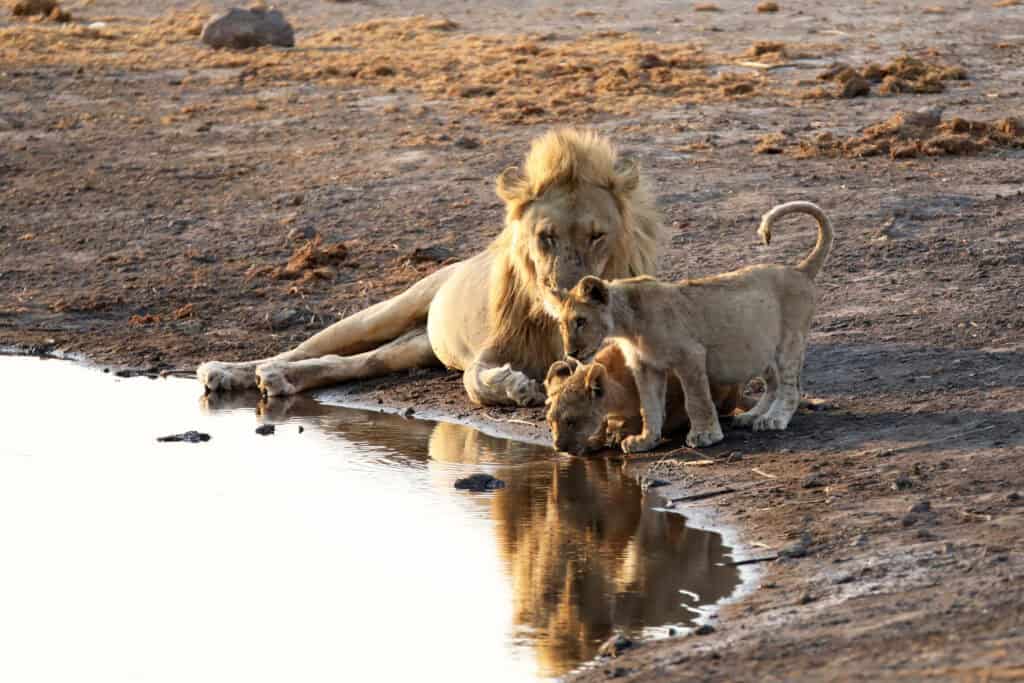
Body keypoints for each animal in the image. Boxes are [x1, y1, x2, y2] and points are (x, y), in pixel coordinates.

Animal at [196, 129, 667, 405]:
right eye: (545, 236)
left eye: (596, 235)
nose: (566, 289)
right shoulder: (489, 350)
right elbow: (475, 381)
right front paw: (515, 387)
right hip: (387, 311)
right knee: (303, 348)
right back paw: (231, 371)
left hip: (412, 347)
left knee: (351, 363)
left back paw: (279, 379)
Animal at [561, 200, 831, 450]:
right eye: (563, 326)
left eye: (580, 321)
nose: (571, 353)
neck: (628, 325)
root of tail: (799, 270)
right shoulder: (646, 367)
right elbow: (649, 406)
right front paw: (645, 440)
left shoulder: (690, 355)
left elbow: (696, 399)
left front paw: (705, 435)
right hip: (760, 348)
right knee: (773, 384)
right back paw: (752, 416)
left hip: (788, 343)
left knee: (790, 387)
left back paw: (774, 419)